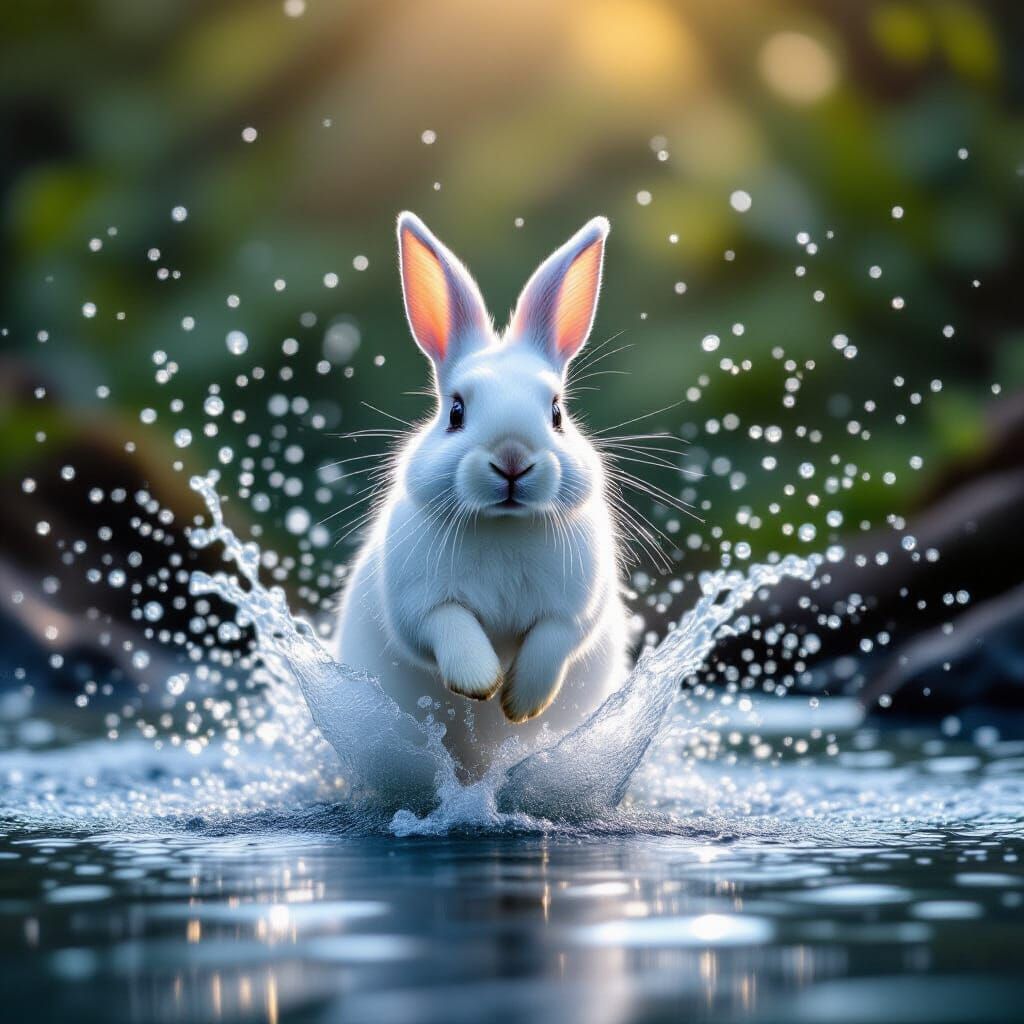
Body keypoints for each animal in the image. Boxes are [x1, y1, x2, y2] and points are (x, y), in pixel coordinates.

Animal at [334, 211, 628, 779]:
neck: (504, 524)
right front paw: (481, 682)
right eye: (455, 412)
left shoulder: (576, 610)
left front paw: (520, 704)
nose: (512, 459)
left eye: (556, 413)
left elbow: (551, 642)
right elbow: (452, 627)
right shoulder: (419, 605)